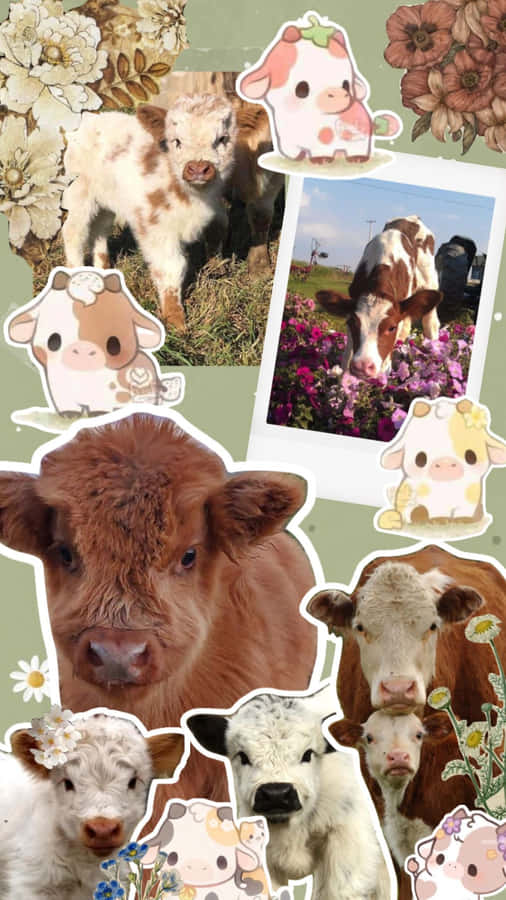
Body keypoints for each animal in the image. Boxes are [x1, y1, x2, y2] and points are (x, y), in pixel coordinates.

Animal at [62, 94, 237, 329]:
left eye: (222, 139)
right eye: (177, 141)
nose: (198, 169)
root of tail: (93, 119)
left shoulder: (214, 206)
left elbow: (220, 226)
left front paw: (216, 268)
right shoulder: (156, 226)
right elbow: (172, 266)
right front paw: (175, 320)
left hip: (108, 199)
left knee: (100, 229)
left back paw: (103, 269)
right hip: (79, 193)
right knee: (74, 232)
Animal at [237, 13, 400, 163]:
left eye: (346, 85)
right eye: (302, 88)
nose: (339, 94)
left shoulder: (324, 138)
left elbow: (322, 147)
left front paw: (321, 160)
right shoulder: (284, 137)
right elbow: (289, 150)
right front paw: (295, 157)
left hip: (361, 139)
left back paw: (356, 158)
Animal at [316, 215, 442, 379]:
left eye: (391, 327)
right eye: (352, 323)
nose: (363, 367)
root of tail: (413, 217)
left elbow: (385, 366)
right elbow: (346, 359)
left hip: (430, 281)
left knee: (430, 323)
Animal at [376, 398, 506, 532]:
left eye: (471, 456)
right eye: (420, 459)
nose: (445, 462)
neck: (447, 486)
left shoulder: (470, 498)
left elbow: (464, 512)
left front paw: (463, 520)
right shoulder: (432, 502)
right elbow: (435, 512)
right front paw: (439, 520)